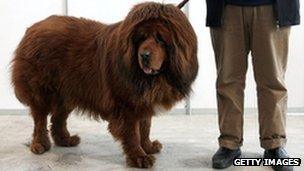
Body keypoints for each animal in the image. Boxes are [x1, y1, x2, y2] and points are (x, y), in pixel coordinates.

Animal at [10, 1, 198, 168]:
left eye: (160, 39)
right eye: (141, 39)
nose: (144, 55)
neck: (148, 78)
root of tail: (33, 28)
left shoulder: (142, 100)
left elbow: (145, 127)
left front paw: (148, 147)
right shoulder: (126, 105)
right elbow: (133, 133)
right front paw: (139, 157)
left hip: (69, 90)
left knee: (58, 118)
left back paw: (65, 140)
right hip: (42, 90)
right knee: (40, 120)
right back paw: (39, 145)